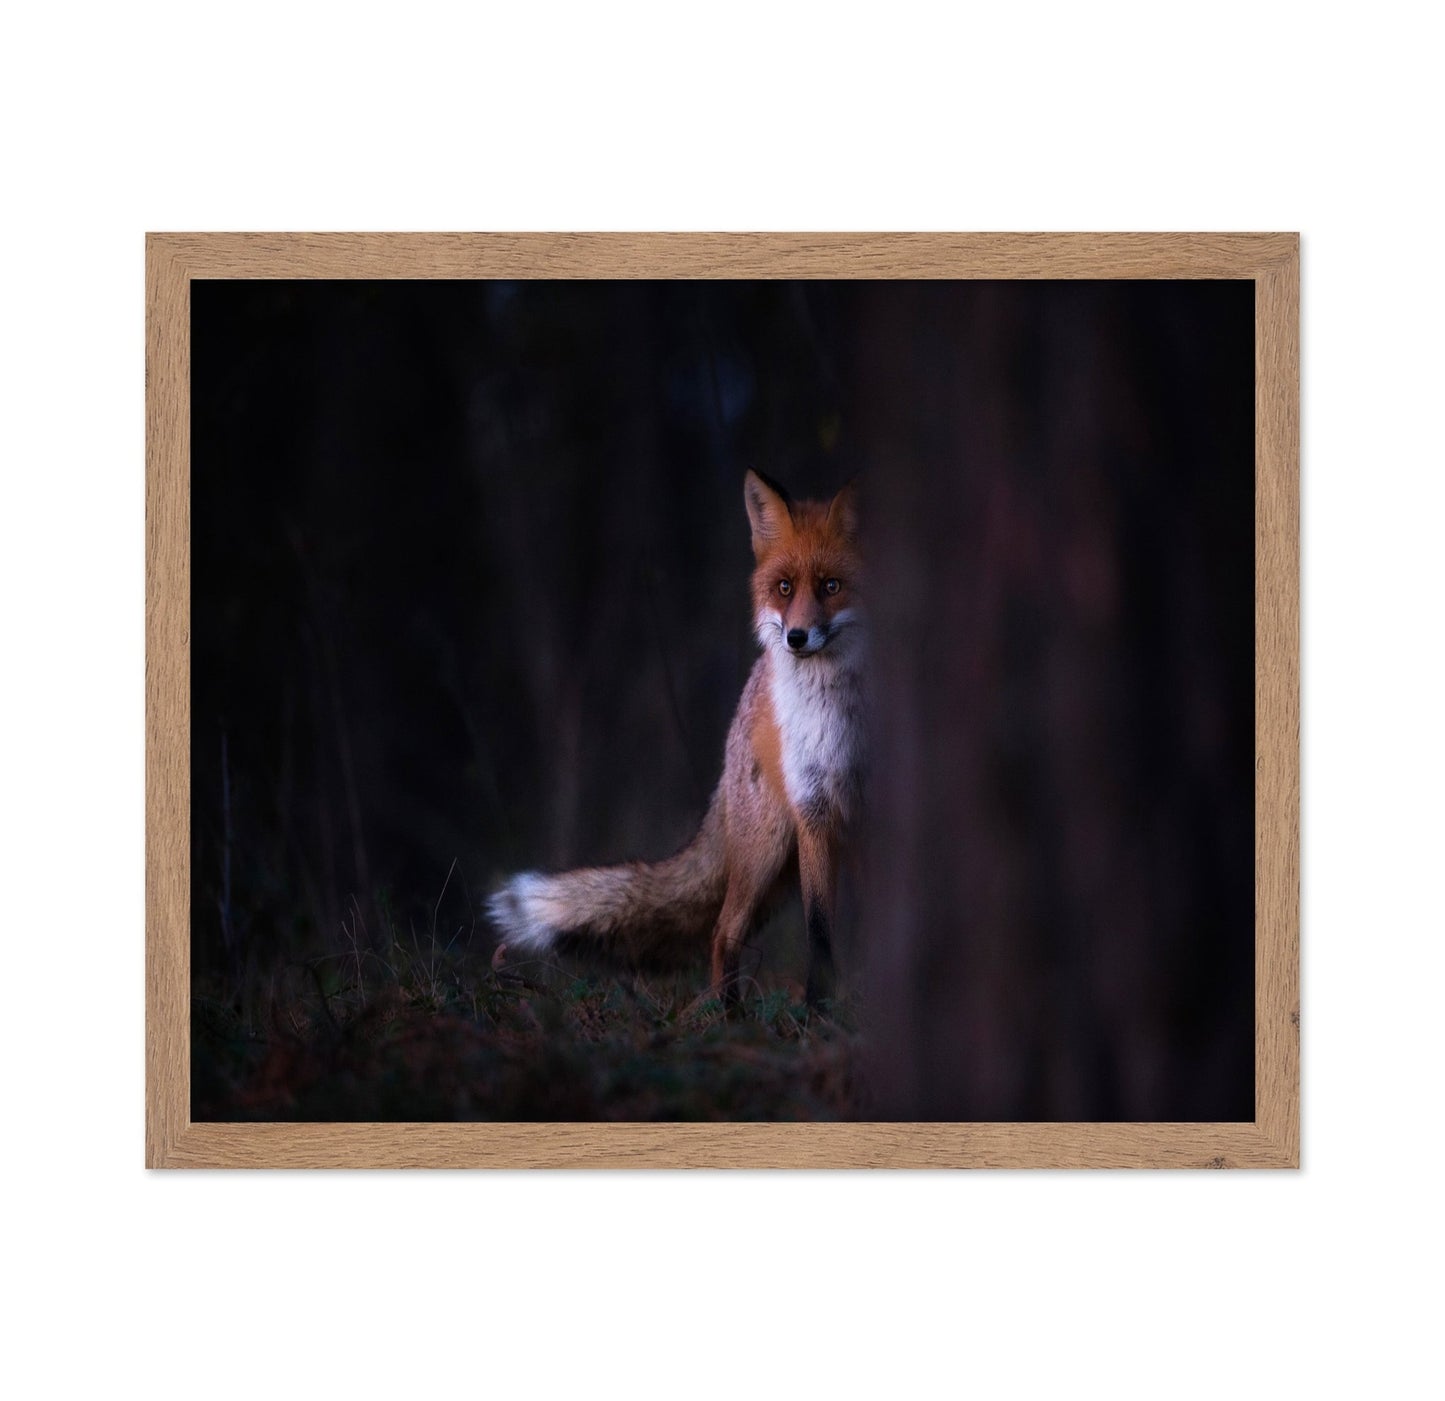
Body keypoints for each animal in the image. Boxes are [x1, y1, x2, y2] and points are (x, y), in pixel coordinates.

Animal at [487, 470, 865, 1006]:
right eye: (784, 587)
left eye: (832, 586)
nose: (796, 637)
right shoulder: (815, 811)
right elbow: (820, 932)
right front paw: (818, 1009)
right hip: (766, 848)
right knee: (723, 932)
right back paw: (727, 1015)